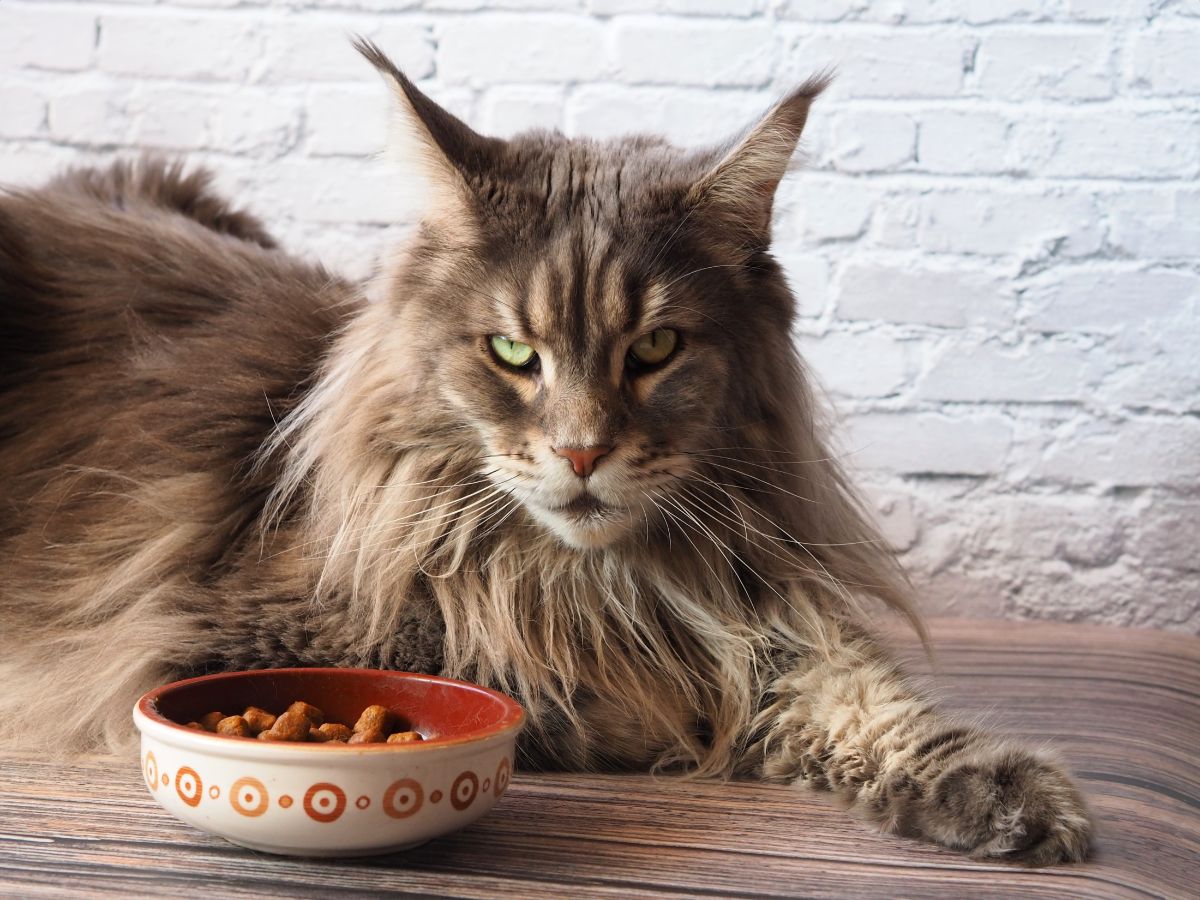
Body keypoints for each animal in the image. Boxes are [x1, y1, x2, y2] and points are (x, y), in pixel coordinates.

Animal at [0, 42, 1089, 868]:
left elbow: (859, 693)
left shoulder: (762, 609)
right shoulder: (202, 636)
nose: (581, 450)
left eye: (655, 349)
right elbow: (590, 692)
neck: (591, 579)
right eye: (513, 353)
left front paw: (1007, 792)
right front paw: (684, 727)